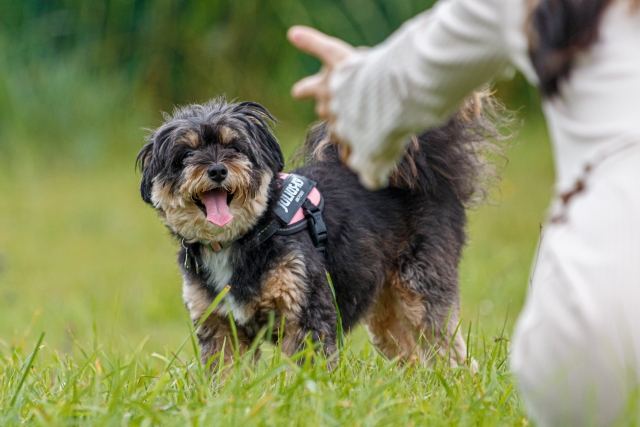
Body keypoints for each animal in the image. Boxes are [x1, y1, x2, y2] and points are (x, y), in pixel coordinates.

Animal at [138, 96, 500, 368]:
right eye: (186, 154)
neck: (240, 239)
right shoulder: (220, 327)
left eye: (235, 147)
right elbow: (225, 379)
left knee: (448, 351)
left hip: (421, 287)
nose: (216, 169)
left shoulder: (307, 312)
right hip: (385, 309)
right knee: (410, 354)